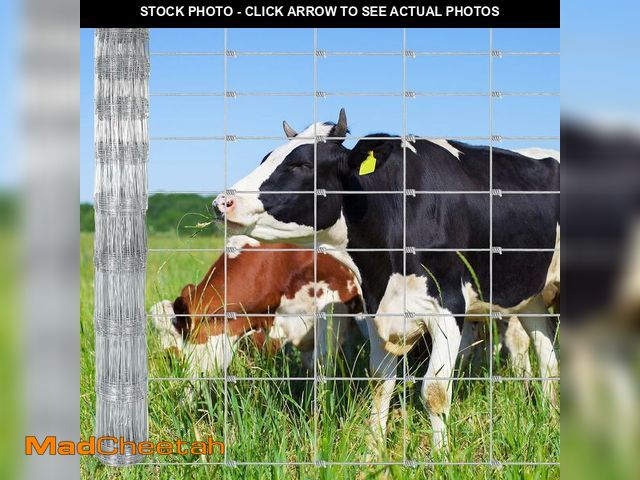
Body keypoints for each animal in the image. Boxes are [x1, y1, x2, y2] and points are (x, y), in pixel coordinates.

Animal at [212, 109, 560, 452]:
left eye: (302, 165)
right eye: (266, 158)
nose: (221, 203)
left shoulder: (448, 306)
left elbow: (434, 392)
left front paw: (441, 455)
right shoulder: (377, 306)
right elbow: (380, 383)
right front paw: (374, 450)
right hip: (530, 296)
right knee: (547, 356)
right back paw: (552, 415)